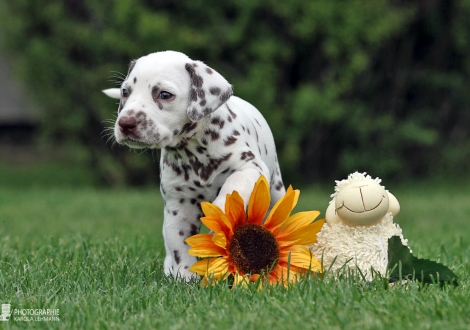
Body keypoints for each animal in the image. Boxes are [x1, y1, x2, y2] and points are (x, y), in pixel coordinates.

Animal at [103, 50, 284, 280]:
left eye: (164, 94)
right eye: (125, 92)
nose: (126, 123)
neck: (194, 151)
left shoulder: (250, 167)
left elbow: (234, 185)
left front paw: (220, 210)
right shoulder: (180, 207)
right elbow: (180, 246)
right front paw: (185, 277)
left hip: (275, 189)